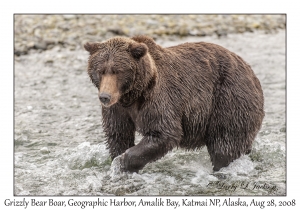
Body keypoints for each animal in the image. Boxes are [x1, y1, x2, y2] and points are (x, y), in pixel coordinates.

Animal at [83, 35, 264, 172]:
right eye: (100, 70)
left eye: (118, 71)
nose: (105, 97)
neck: (132, 95)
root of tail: (251, 72)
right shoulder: (118, 109)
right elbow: (118, 134)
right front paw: (118, 160)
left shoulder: (158, 99)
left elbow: (164, 132)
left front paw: (122, 162)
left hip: (229, 99)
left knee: (224, 145)